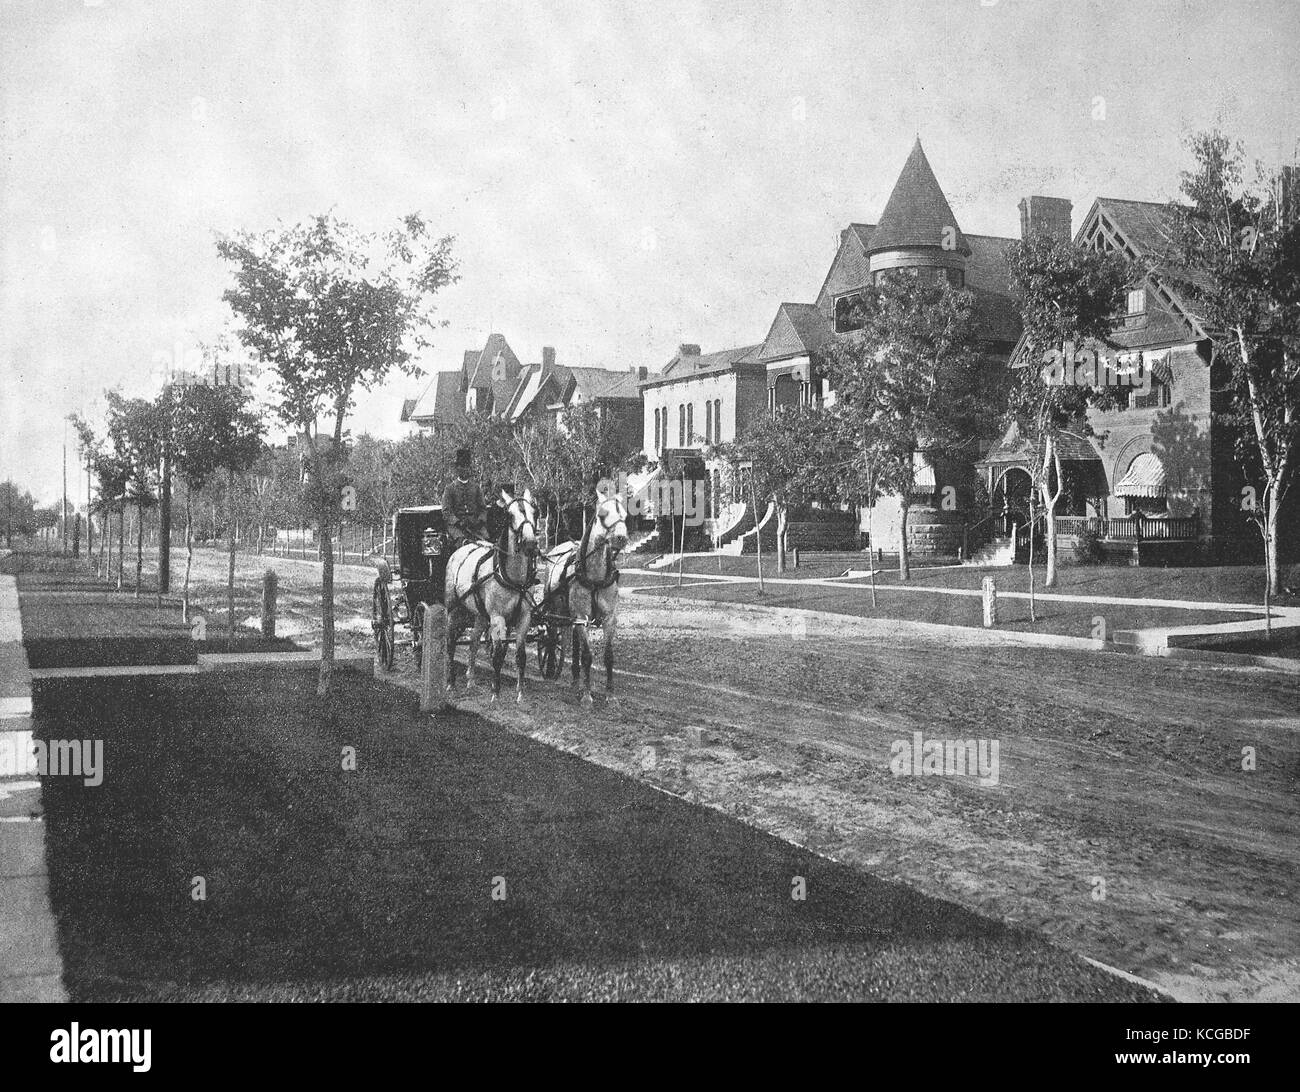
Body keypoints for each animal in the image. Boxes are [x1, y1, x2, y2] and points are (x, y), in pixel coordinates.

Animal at [439, 491, 535, 702]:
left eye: (535, 511)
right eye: (510, 515)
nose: (530, 542)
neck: (512, 577)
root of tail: (463, 546)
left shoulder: (524, 617)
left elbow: (520, 655)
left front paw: (520, 694)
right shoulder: (497, 617)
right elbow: (497, 655)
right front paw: (495, 693)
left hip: (481, 615)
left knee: (473, 642)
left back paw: (470, 680)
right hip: (453, 609)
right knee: (450, 642)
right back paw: (450, 682)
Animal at [543, 491, 629, 707]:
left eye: (624, 513)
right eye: (602, 514)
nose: (621, 538)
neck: (595, 577)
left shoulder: (609, 618)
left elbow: (608, 657)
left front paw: (610, 696)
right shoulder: (582, 617)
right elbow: (587, 656)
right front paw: (587, 696)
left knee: (574, 644)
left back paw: (575, 681)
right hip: (555, 611)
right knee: (552, 636)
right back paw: (551, 669)